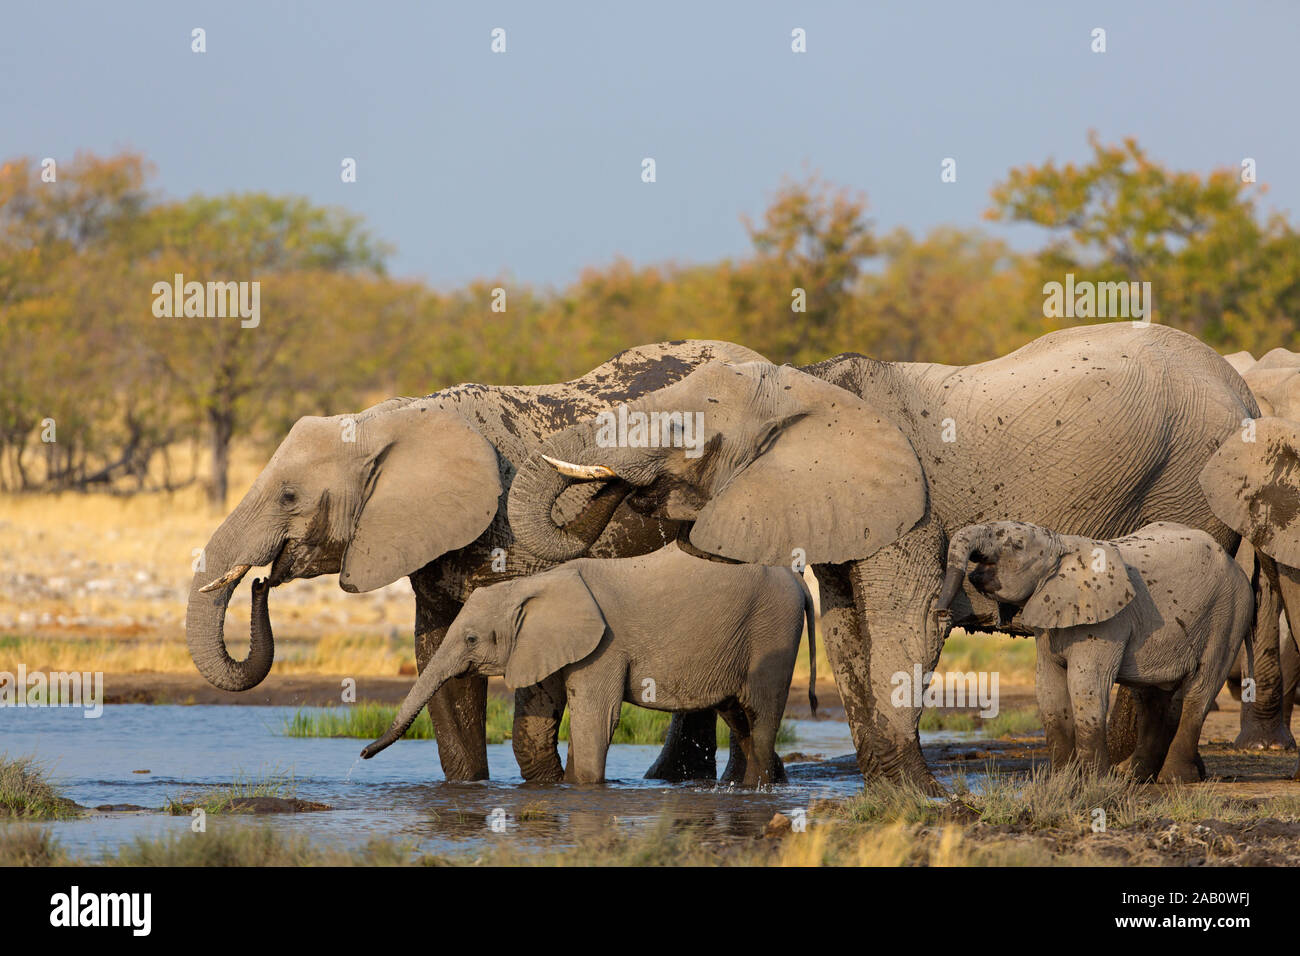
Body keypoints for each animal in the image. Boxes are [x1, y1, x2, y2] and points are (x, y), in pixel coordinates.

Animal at [185, 339, 765, 784]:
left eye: (288, 497)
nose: (261, 582)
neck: (390, 420)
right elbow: (439, 659)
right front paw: (470, 791)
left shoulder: (518, 547)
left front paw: (548, 787)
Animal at [360, 544, 818, 786]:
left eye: (471, 639)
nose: (363, 754)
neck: (530, 584)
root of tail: (799, 581)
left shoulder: (604, 647)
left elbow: (597, 715)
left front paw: (587, 788)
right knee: (740, 719)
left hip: (772, 632)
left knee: (760, 718)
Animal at [935, 521, 1254, 782]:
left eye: (1016, 545)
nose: (941, 613)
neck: (1062, 544)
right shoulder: (1050, 618)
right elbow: (1048, 687)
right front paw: (1061, 780)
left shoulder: (1106, 621)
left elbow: (1086, 683)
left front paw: (1094, 780)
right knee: (1150, 698)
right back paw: (1133, 775)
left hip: (1229, 613)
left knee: (1200, 688)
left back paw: (1173, 778)